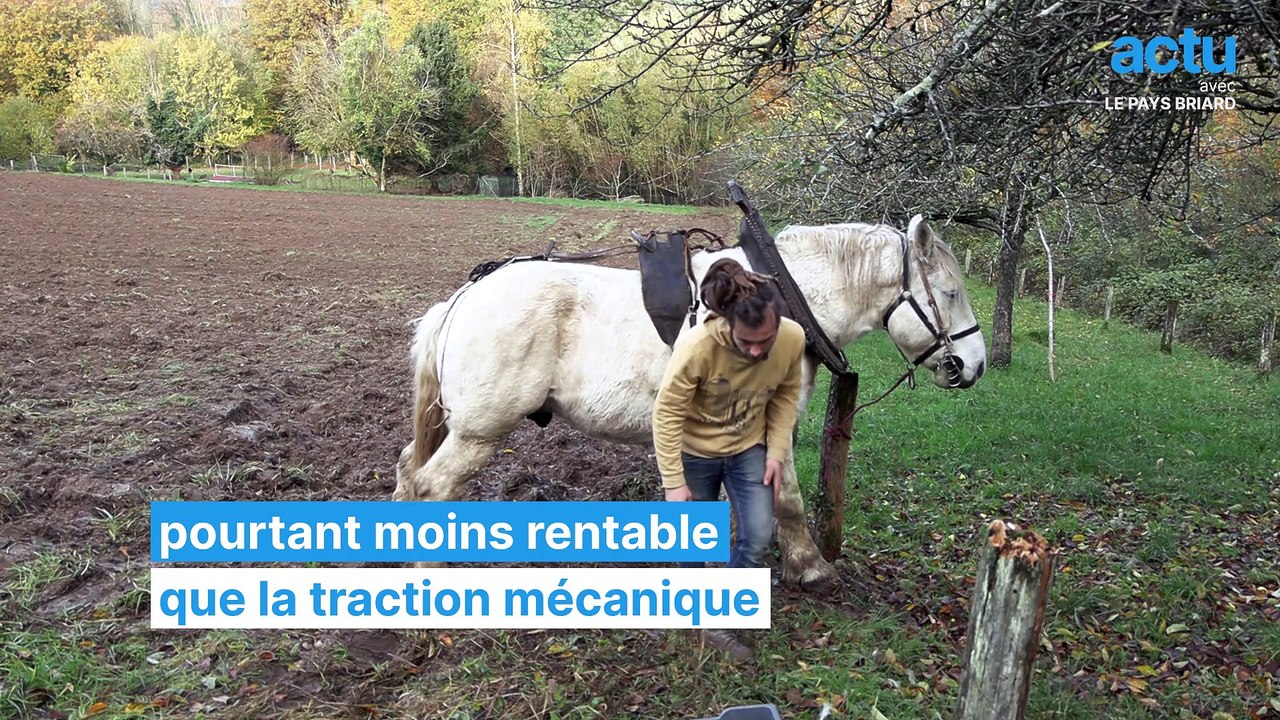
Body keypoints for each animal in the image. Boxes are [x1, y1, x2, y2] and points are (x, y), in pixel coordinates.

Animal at [393, 215, 987, 592]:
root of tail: (464, 297)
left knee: (406, 470)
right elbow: (789, 498)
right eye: (951, 293)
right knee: (431, 486)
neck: (788, 301)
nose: (975, 365)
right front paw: (811, 569)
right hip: (480, 430)